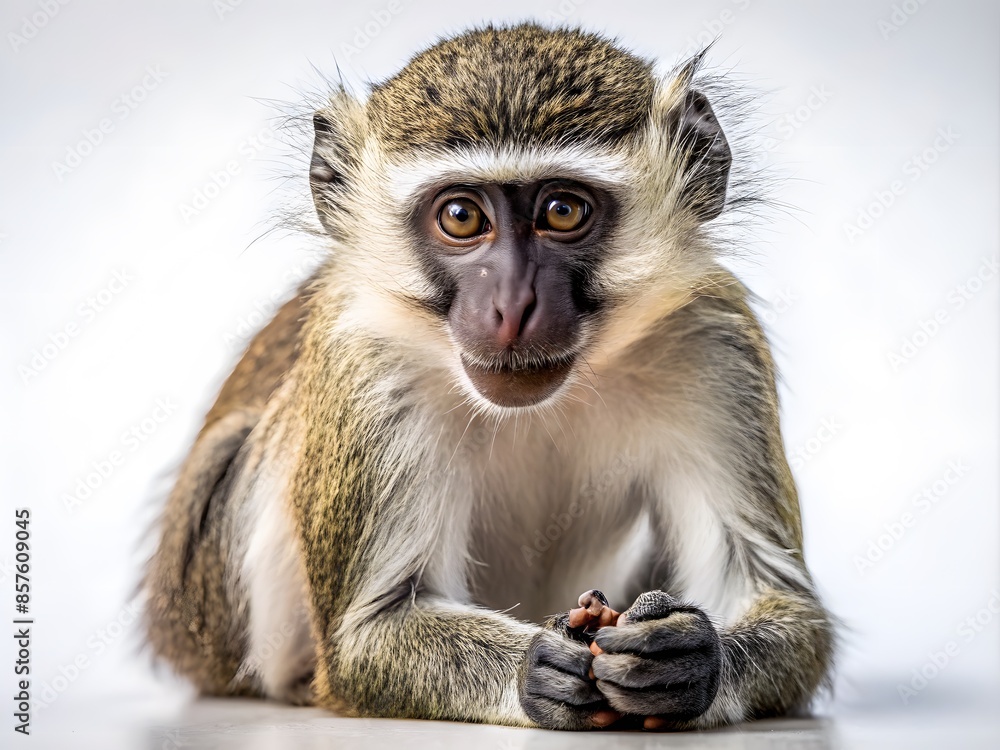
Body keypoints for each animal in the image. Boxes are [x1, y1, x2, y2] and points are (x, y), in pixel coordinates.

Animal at [143, 23, 834, 731]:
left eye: (562, 211)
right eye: (461, 217)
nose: (512, 305)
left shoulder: (716, 343)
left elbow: (778, 601)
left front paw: (689, 660)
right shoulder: (366, 364)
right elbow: (369, 633)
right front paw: (539, 669)